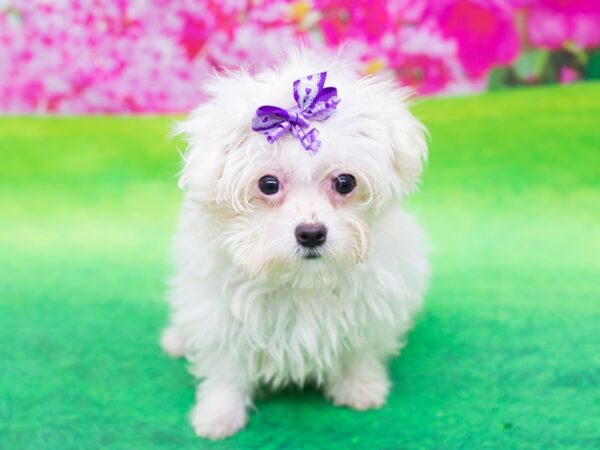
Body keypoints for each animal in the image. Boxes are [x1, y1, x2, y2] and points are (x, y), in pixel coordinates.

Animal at [162, 50, 428, 440]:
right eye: (268, 184)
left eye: (345, 182)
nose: (311, 233)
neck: (302, 279)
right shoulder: (219, 313)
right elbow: (226, 369)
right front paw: (218, 414)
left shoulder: (373, 303)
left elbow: (361, 351)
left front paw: (361, 388)